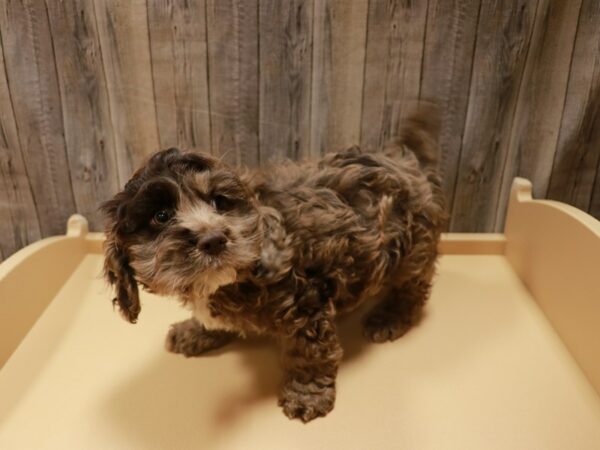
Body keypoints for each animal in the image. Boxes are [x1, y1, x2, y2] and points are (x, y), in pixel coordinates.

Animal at [102, 109, 446, 422]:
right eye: (161, 216)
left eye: (220, 202)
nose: (213, 240)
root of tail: (405, 159)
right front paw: (195, 331)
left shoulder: (306, 304)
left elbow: (309, 352)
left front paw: (307, 394)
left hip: (412, 249)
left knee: (414, 286)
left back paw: (391, 316)